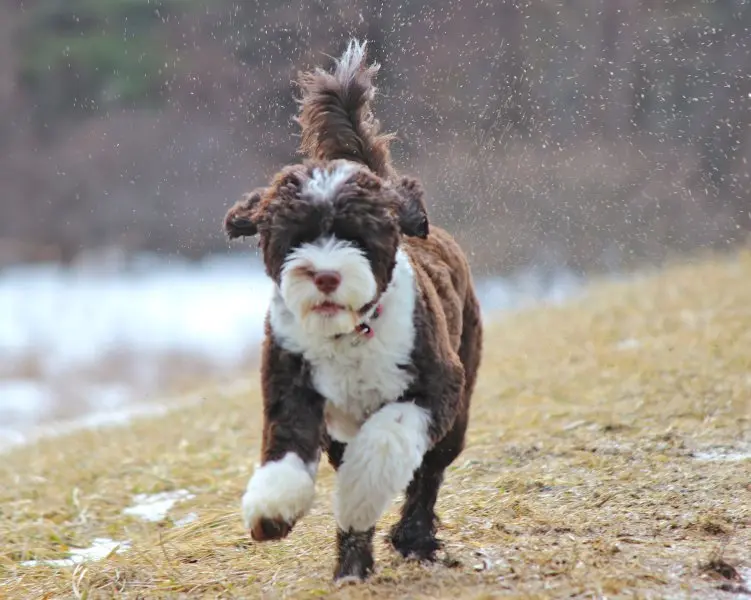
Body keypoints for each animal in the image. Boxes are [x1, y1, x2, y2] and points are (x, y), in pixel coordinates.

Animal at [223, 39, 482, 584]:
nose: (324, 274)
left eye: (357, 235)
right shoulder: (290, 384)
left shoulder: (435, 387)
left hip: (460, 398)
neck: (347, 334)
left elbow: (381, 451)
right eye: (294, 238)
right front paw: (271, 510)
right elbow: (285, 451)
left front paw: (363, 505)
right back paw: (353, 566)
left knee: (429, 471)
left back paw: (413, 537)